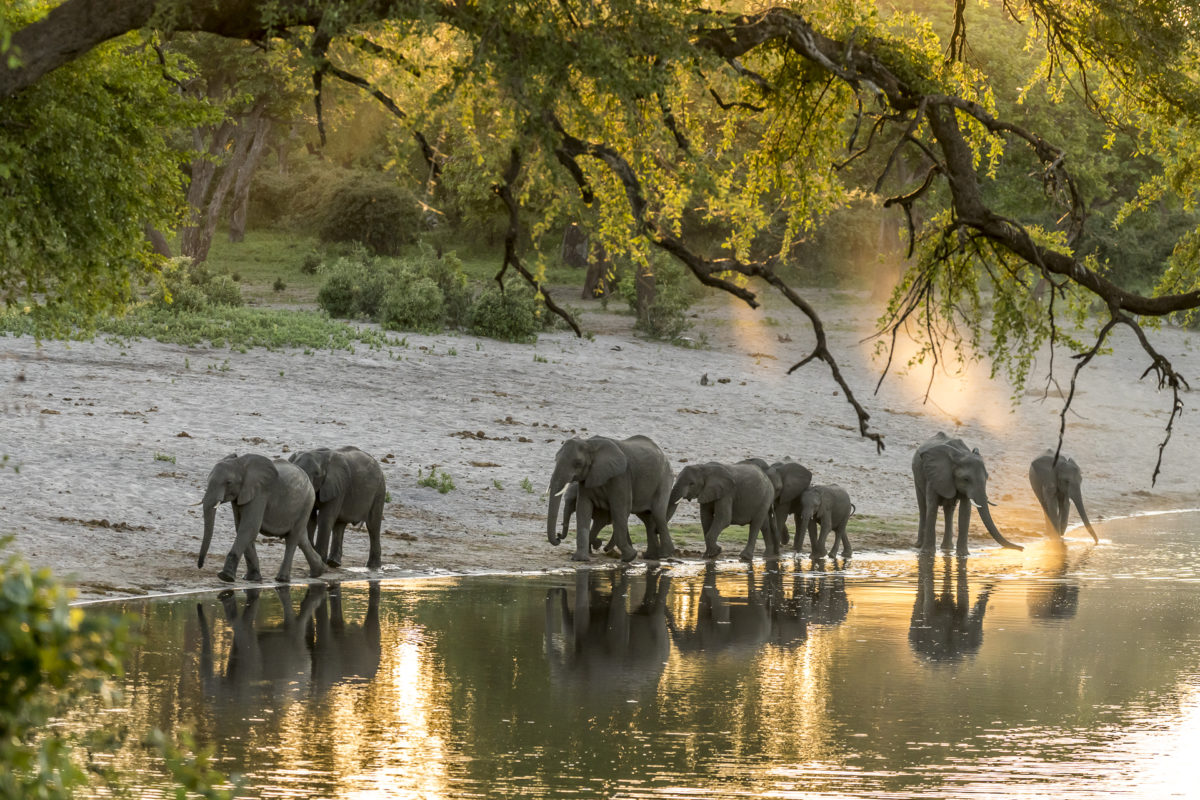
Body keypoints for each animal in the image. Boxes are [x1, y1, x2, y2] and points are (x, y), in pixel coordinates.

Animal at [547, 434, 676, 561]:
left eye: (578, 463)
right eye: (555, 459)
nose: (558, 537)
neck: (589, 443)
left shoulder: (621, 476)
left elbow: (620, 508)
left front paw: (629, 557)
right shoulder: (587, 478)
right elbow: (583, 508)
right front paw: (580, 558)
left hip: (664, 478)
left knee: (658, 513)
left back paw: (665, 555)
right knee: (647, 518)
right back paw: (651, 557)